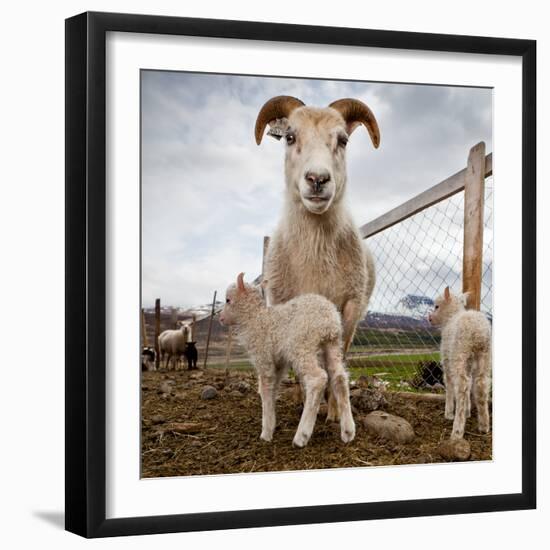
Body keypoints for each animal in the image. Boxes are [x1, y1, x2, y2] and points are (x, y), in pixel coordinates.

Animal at [218, 272, 356, 448]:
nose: (220, 318)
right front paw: (272, 423)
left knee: (317, 379)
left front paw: (266, 433)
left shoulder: (263, 357)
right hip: (332, 344)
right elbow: (273, 390)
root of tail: (328, 319)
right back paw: (348, 431)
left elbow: (265, 390)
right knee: (339, 377)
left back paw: (301, 436)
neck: (255, 319)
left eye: (228, 300)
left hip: (302, 345)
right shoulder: (278, 364)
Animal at [430, 288, 494, 440]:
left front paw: (449, 413)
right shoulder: (469, 363)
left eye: (437, 306)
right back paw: (484, 426)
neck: (450, 317)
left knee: (462, 387)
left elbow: (448, 385)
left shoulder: (447, 360)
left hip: (459, 354)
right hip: (484, 355)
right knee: (481, 384)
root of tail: (477, 331)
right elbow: (471, 385)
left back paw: (457, 430)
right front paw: (468, 412)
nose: (429, 318)